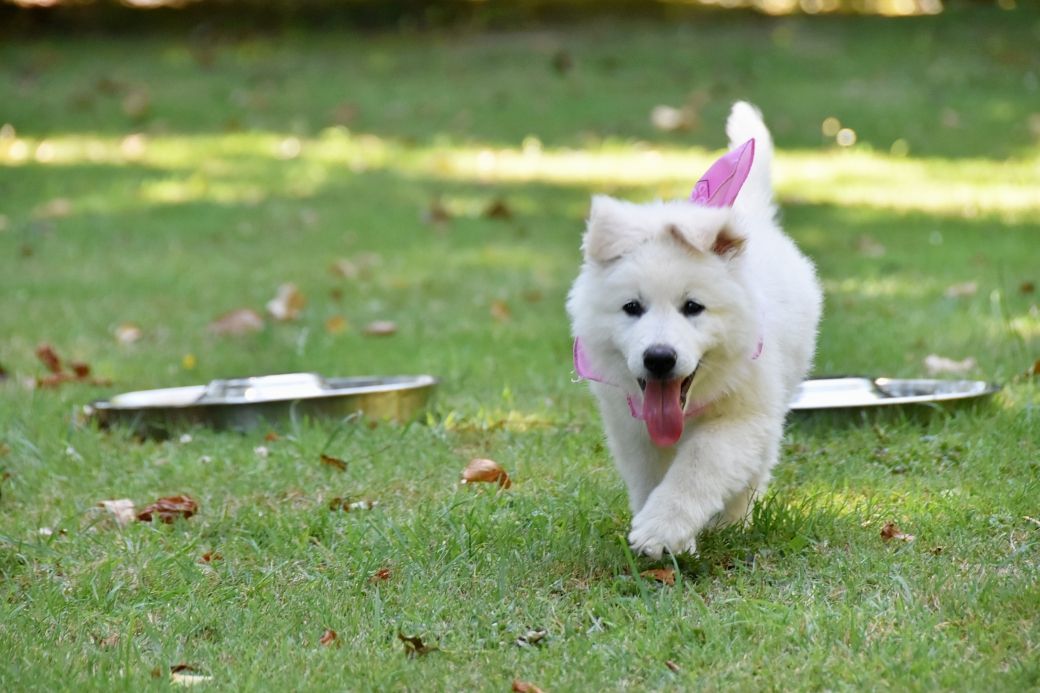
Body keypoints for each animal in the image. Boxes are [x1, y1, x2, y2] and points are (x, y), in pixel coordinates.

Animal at [566, 102, 822, 558]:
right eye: (632, 308)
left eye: (693, 308)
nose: (659, 358)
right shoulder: (629, 425)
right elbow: (650, 477)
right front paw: (665, 533)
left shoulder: (743, 417)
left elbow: (700, 465)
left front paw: (663, 530)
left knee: (753, 472)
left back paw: (733, 523)